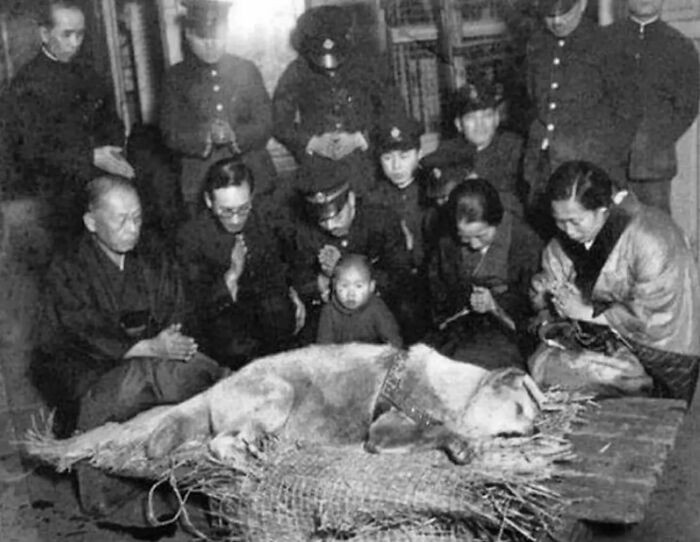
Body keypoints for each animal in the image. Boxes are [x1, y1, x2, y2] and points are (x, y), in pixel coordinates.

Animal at [145, 344, 544, 468]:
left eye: (533, 411)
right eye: (519, 408)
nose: (538, 428)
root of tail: (215, 388)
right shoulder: (383, 430)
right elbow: (438, 430)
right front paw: (462, 444)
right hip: (279, 393)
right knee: (217, 441)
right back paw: (243, 454)